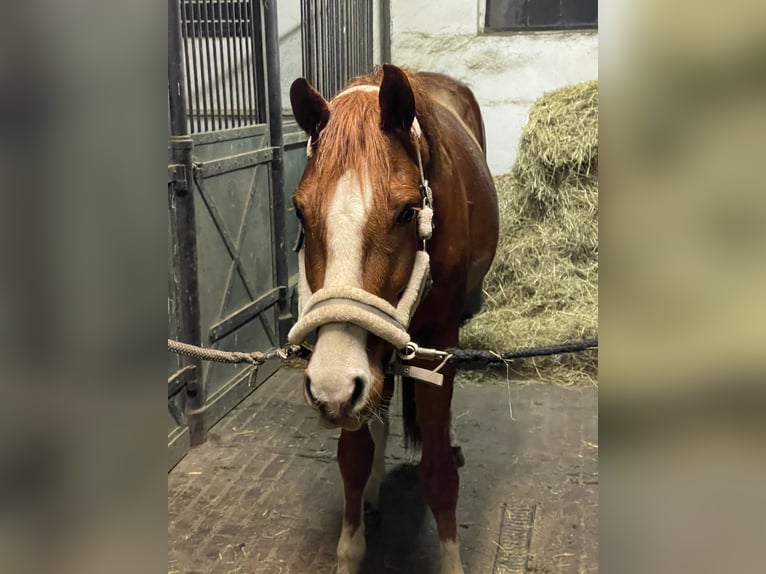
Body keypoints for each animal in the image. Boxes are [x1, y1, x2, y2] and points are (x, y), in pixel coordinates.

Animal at [288, 65, 498, 572]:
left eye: (406, 212)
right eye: (299, 211)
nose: (330, 385)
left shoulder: (438, 345)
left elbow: (438, 473)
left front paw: (451, 561)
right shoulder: (364, 363)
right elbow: (353, 456)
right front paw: (350, 548)